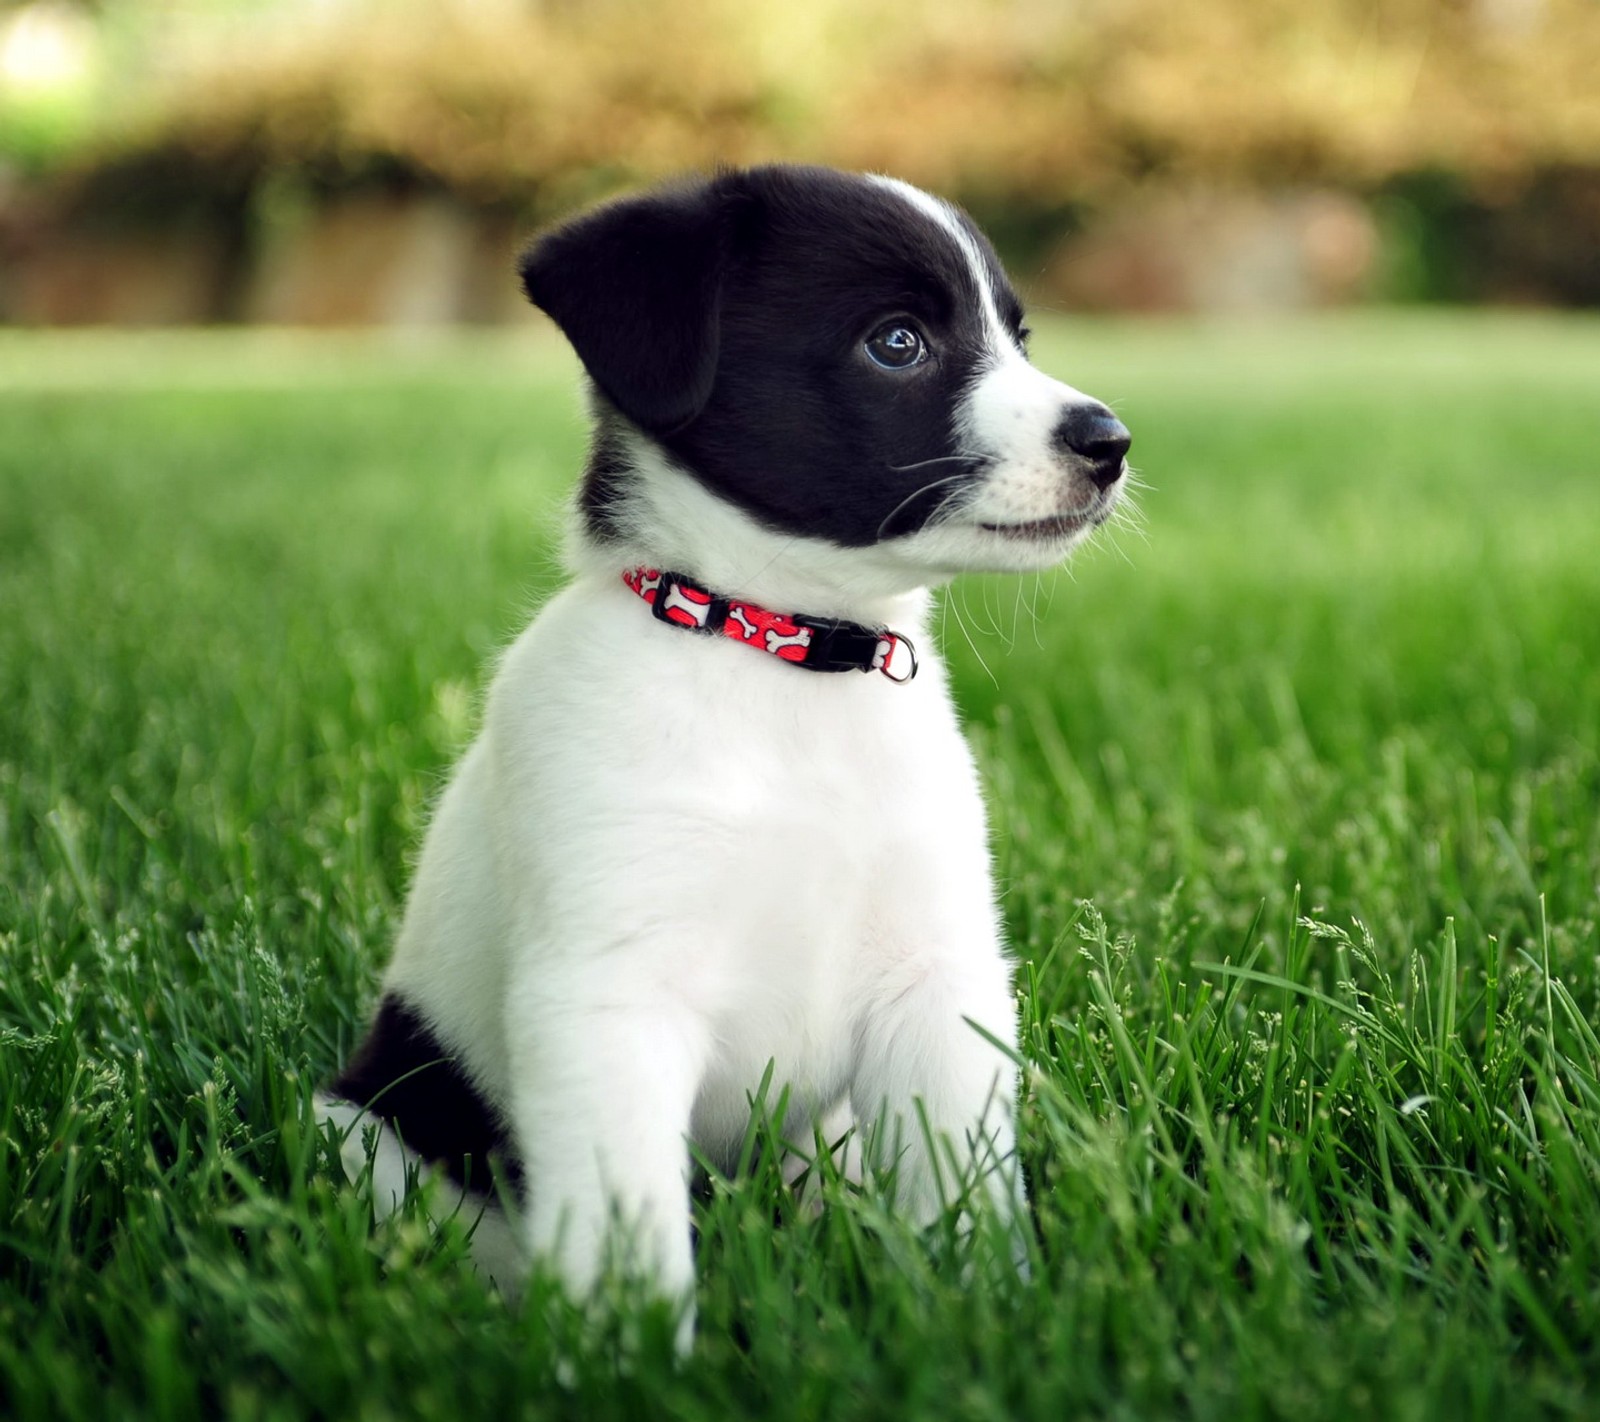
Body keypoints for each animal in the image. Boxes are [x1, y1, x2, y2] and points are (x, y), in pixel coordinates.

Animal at [318, 166, 1132, 1343]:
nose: (1110, 442)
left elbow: (966, 1195)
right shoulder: (608, 1001)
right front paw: (633, 1354)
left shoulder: (936, 983)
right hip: (369, 1133)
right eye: (897, 342)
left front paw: (987, 1321)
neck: (782, 661)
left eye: (1016, 336)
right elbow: (626, 1231)